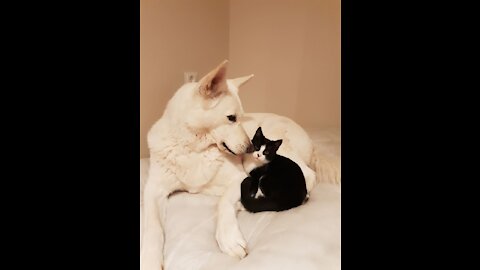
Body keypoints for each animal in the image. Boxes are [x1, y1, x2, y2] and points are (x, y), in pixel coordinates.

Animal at [141, 61, 316, 270]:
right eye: (231, 118)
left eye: (241, 117)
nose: (250, 147)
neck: (194, 149)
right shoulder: (153, 190)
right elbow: (152, 226)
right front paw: (150, 259)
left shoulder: (240, 178)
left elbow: (223, 202)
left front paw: (229, 238)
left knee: (309, 175)